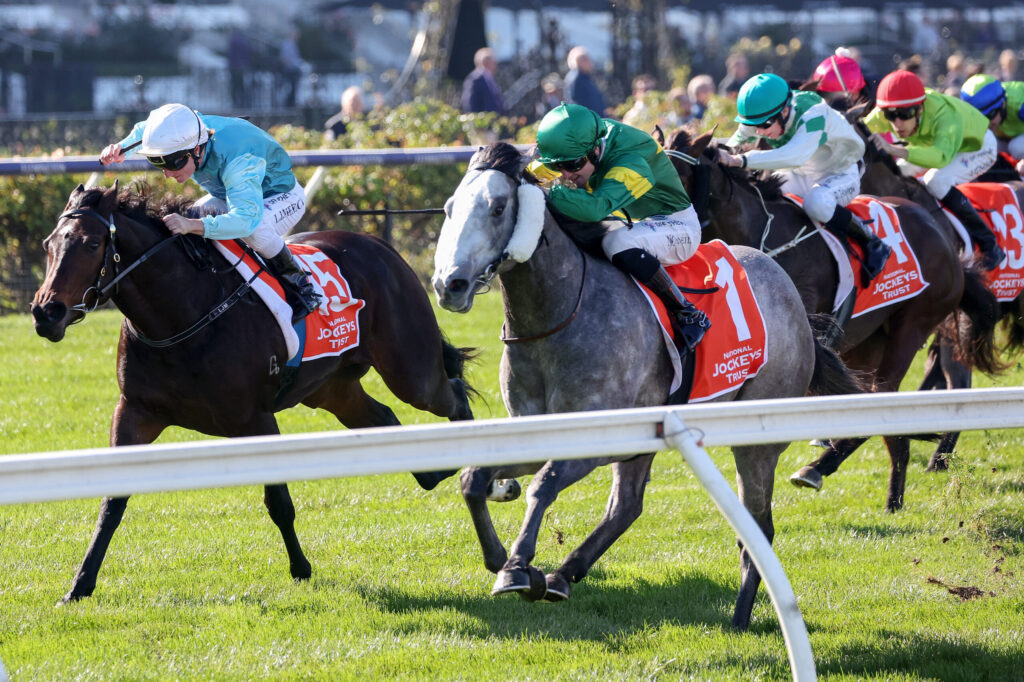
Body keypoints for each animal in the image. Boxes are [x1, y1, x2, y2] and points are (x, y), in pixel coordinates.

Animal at [30, 182, 473, 604]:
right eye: (49, 244)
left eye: (91, 244)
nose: (45, 312)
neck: (184, 313)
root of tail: (380, 246)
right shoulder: (135, 412)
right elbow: (112, 502)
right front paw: (79, 585)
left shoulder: (254, 419)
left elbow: (278, 502)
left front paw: (300, 568)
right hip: (332, 389)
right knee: (385, 419)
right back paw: (433, 470)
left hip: (410, 371)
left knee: (449, 392)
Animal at [430, 142, 863, 631]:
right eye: (449, 208)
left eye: (499, 207)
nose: (449, 284)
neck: (557, 317)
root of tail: (789, 293)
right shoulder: (539, 431)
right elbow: (473, 479)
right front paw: (500, 556)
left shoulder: (601, 438)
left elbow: (543, 484)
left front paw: (518, 567)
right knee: (627, 506)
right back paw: (563, 576)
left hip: (756, 442)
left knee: (759, 527)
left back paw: (739, 616)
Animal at [666, 128, 1003, 511]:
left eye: (676, 173)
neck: (762, 233)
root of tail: (947, 242)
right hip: (869, 342)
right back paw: (889, 489)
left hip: (914, 323)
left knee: (883, 392)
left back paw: (826, 470)